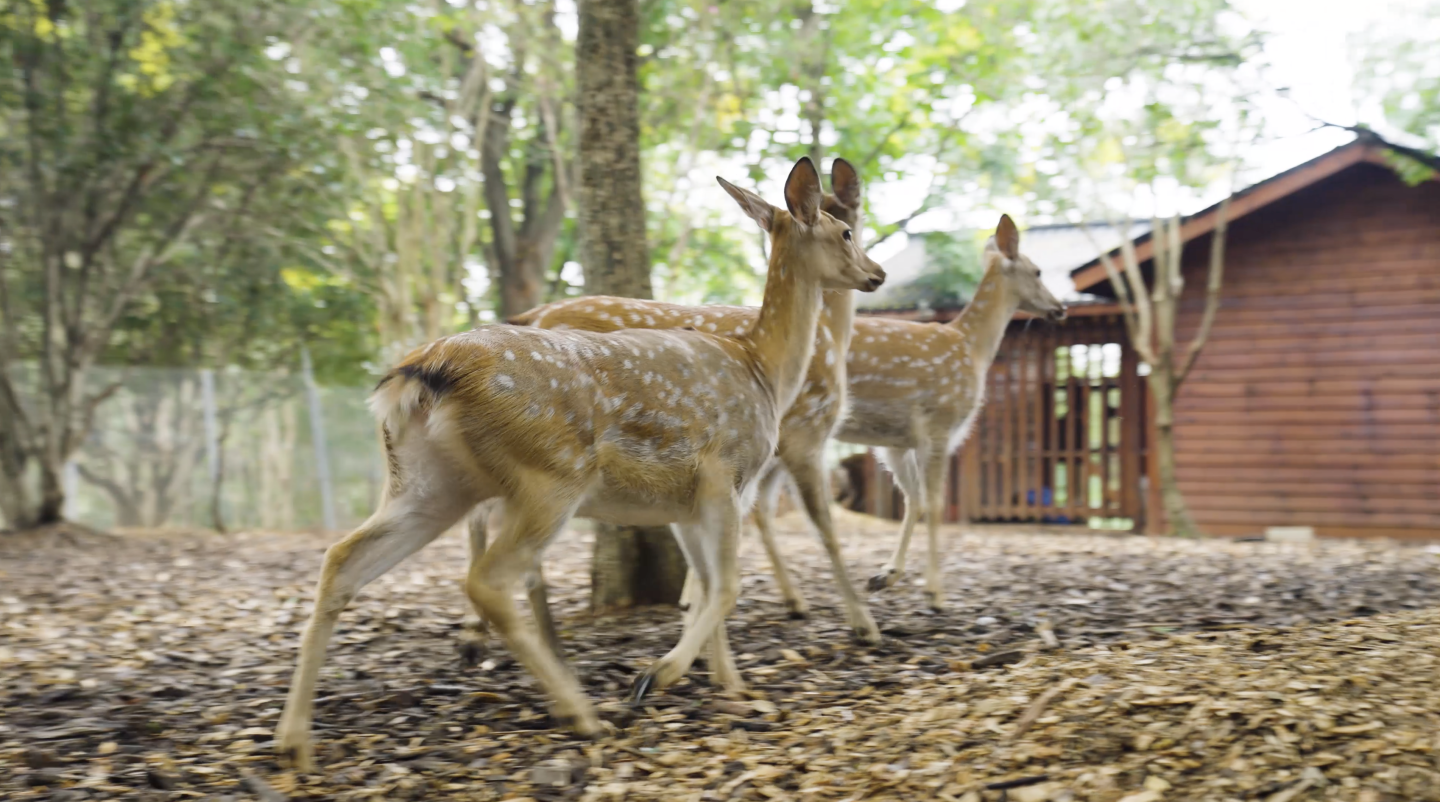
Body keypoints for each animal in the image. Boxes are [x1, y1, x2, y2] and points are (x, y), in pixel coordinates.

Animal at [463, 154, 887, 650]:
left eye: (851, 217)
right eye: (846, 229)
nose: (877, 273)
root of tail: (532, 314)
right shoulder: (804, 438)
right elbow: (823, 528)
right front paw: (863, 623)